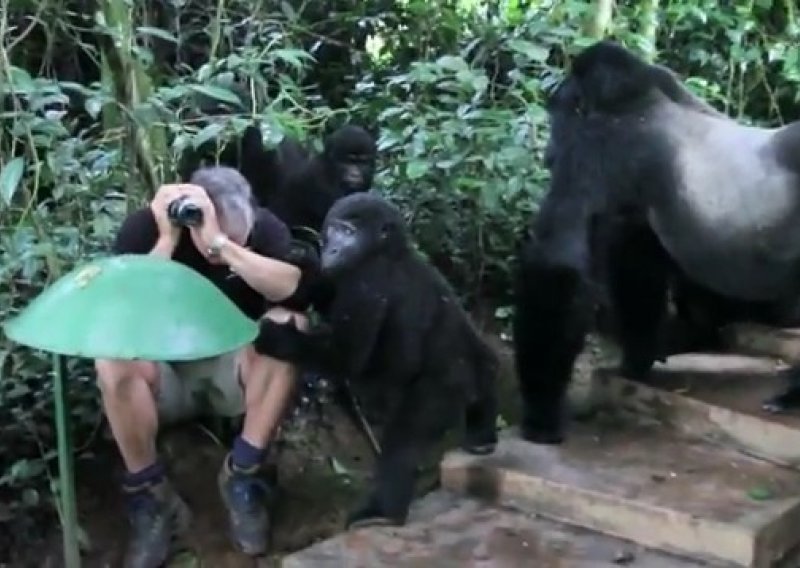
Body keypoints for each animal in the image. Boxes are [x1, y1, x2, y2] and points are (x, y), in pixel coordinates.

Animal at [253, 192, 496, 528]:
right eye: (335, 230)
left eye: (350, 233)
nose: (331, 249)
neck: (390, 251)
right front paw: (300, 260)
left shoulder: (365, 281)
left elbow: (346, 356)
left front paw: (276, 338)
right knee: (481, 359)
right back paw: (482, 428)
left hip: (440, 391)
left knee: (404, 440)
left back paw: (384, 510)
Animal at [512, 41, 800, 448]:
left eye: (556, 118)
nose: (548, 153)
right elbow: (639, 267)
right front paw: (638, 357)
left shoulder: (595, 148)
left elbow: (556, 268)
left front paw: (540, 415)